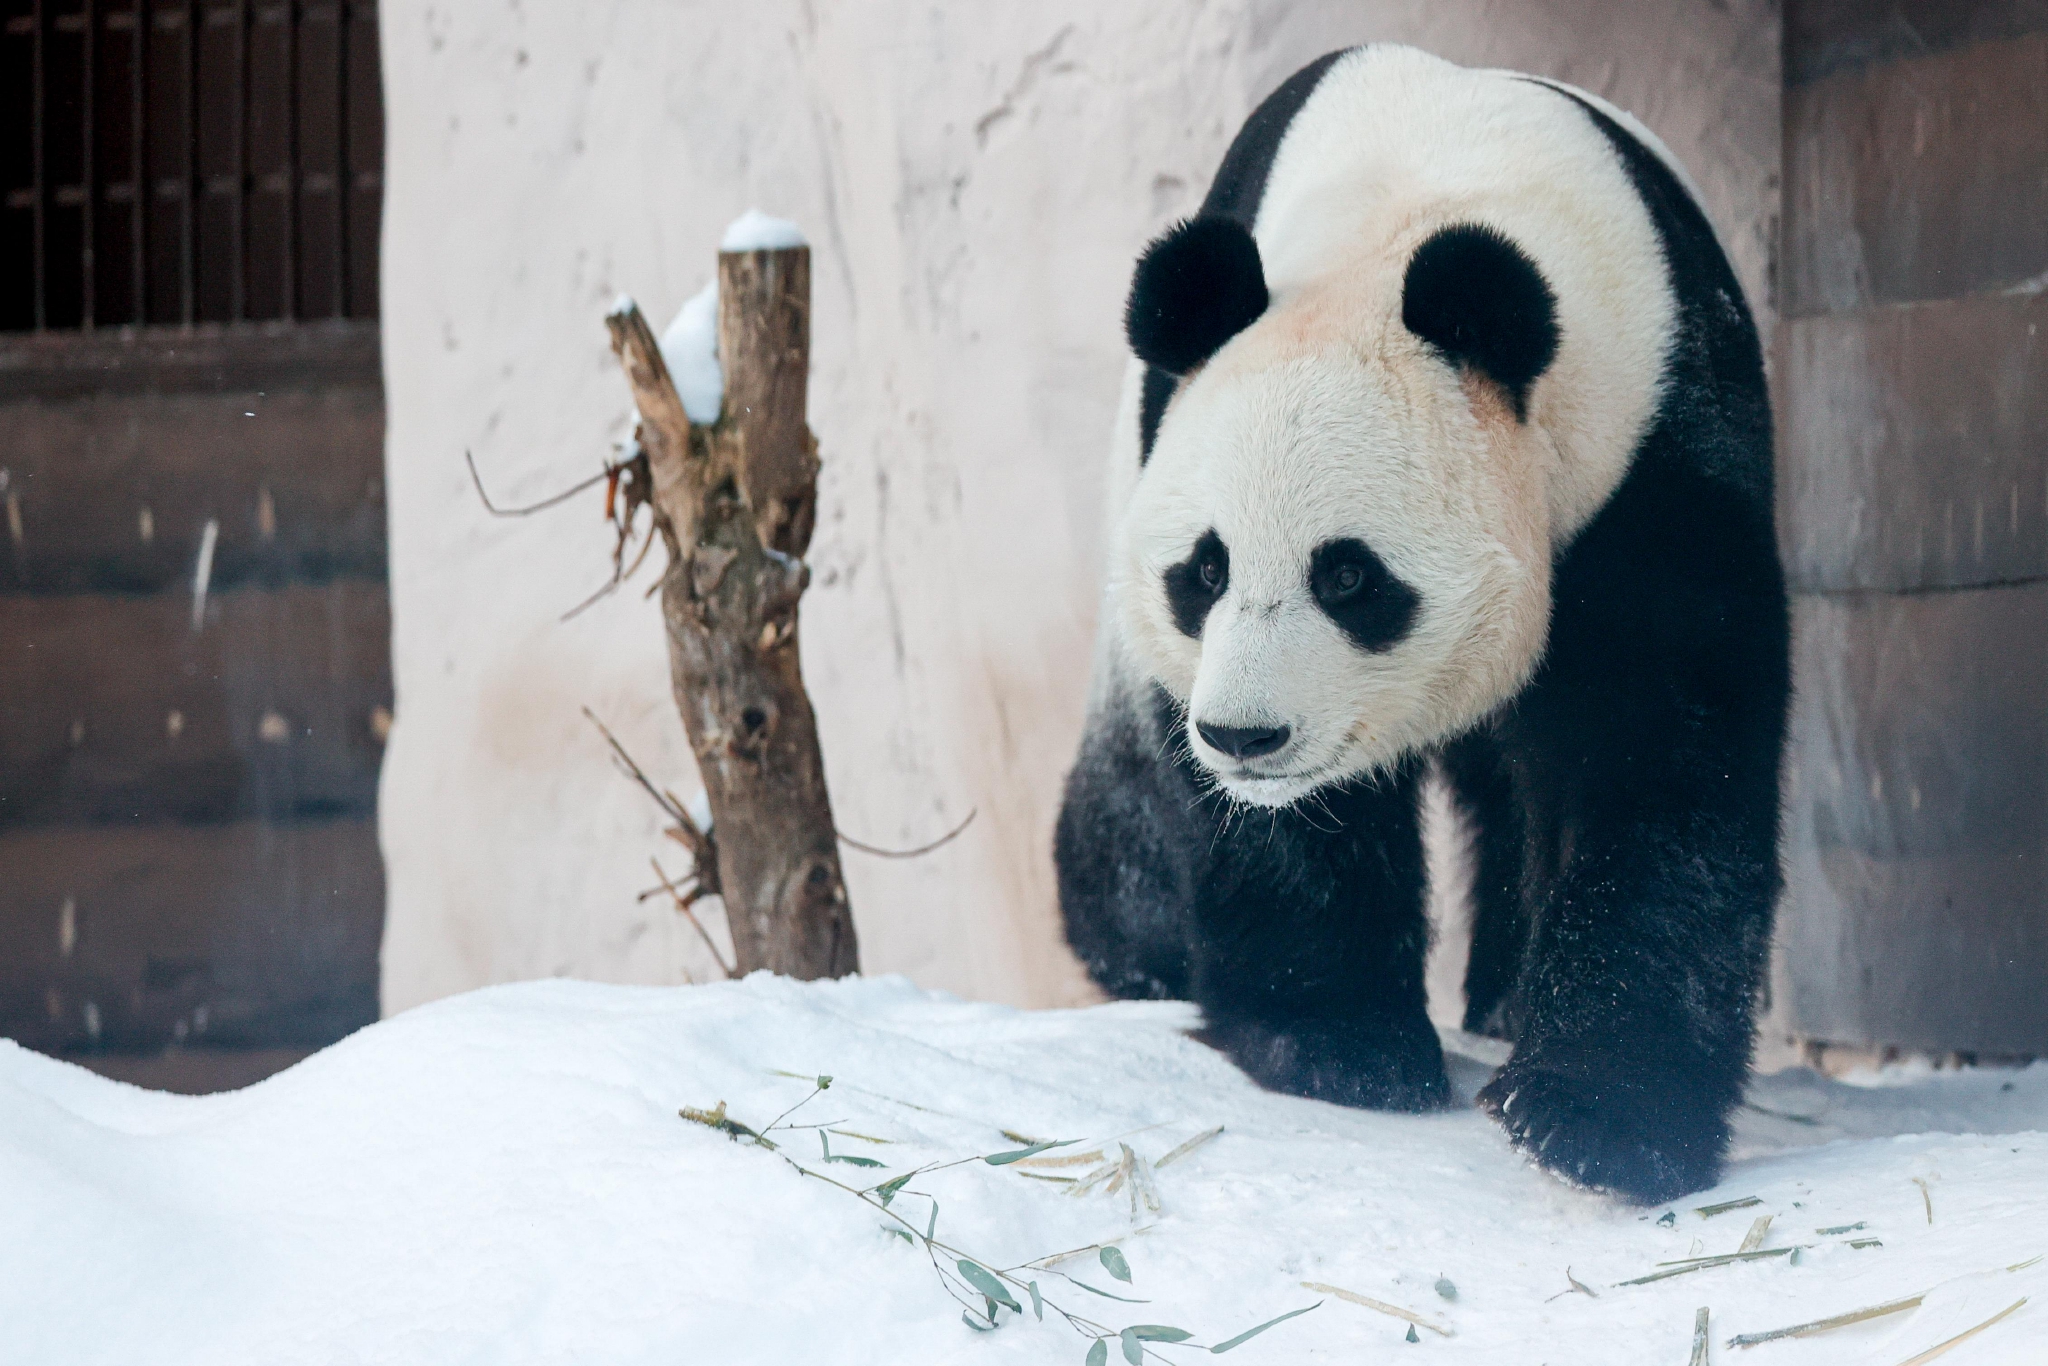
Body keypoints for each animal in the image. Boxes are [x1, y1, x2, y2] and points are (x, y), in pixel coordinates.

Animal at [1064, 45, 1785, 1204]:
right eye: (1204, 571)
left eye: (1350, 577)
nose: (1245, 738)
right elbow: (1288, 835)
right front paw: (1339, 1046)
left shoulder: (1655, 436)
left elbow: (1664, 752)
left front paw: (1594, 1120)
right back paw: (1139, 955)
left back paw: (1500, 1000)